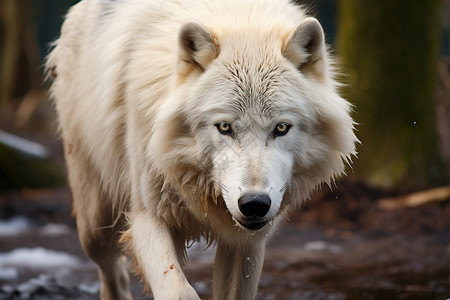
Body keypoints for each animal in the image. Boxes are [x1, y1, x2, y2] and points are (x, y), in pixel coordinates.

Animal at [44, 0, 356, 298]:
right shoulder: (147, 217)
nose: (254, 204)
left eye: (281, 128)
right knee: (111, 270)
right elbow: (178, 290)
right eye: (224, 127)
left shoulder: (246, 242)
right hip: (94, 223)